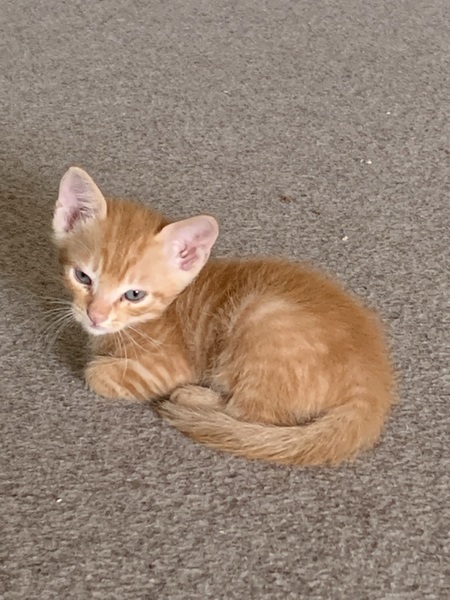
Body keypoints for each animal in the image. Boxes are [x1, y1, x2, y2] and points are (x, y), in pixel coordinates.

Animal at [52, 166, 395, 466]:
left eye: (134, 295)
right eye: (82, 277)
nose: (94, 316)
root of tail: (373, 380)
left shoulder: (168, 366)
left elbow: (95, 373)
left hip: (259, 317)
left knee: (250, 412)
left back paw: (193, 397)